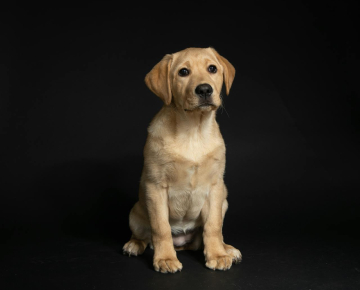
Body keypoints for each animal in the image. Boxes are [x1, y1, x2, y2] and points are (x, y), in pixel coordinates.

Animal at [123, 47, 242, 272]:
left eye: (212, 68)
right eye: (183, 72)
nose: (204, 90)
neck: (193, 130)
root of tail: (182, 242)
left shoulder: (215, 187)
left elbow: (213, 226)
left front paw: (217, 254)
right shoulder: (155, 187)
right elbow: (160, 228)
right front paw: (165, 259)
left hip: (224, 201)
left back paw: (227, 248)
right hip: (136, 212)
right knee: (145, 235)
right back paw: (135, 245)